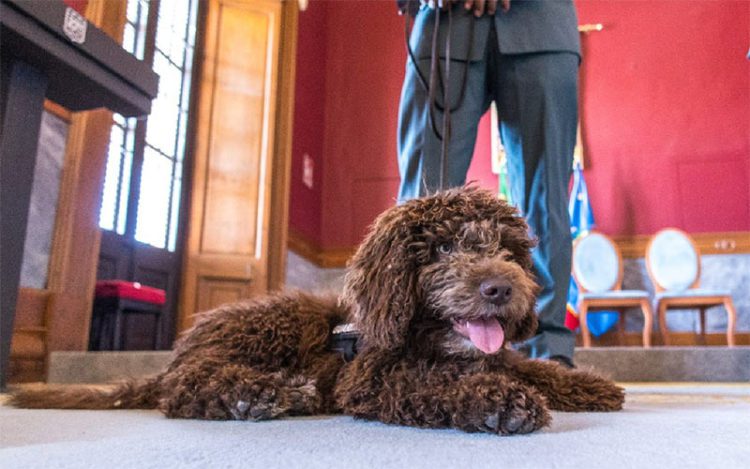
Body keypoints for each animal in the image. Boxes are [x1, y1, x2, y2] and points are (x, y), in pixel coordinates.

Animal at [10, 187, 624, 436]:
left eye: (507, 250)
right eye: (445, 247)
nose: (500, 288)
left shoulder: (491, 355)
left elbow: (526, 365)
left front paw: (590, 385)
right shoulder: (370, 379)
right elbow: (431, 383)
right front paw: (498, 402)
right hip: (271, 323)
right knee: (185, 388)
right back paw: (261, 393)